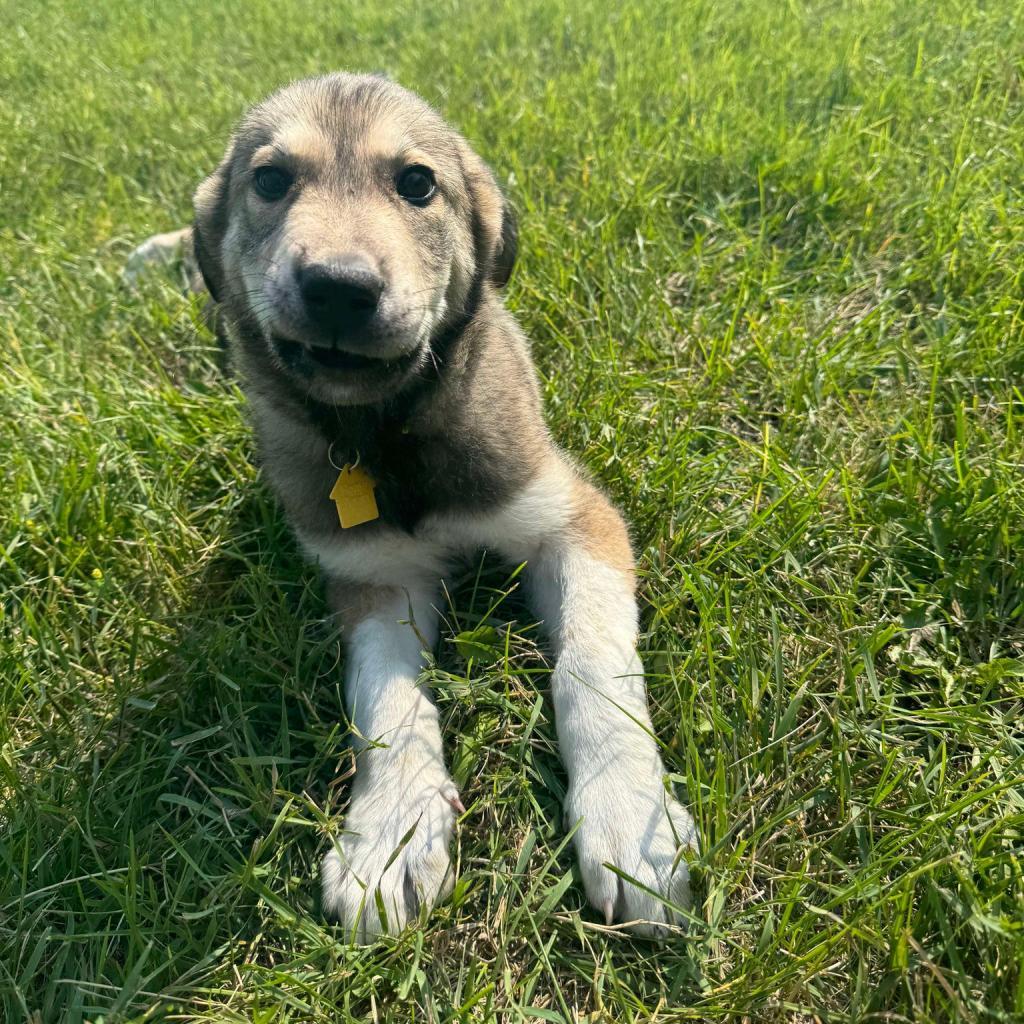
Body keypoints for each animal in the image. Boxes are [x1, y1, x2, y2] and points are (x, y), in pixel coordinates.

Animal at [132, 72, 700, 937]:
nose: (338, 288)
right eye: (270, 180)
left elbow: (592, 664)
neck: (384, 434)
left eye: (417, 184)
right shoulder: (372, 574)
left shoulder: (572, 515)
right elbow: (385, 701)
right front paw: (391, 834)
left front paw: (629, 819)